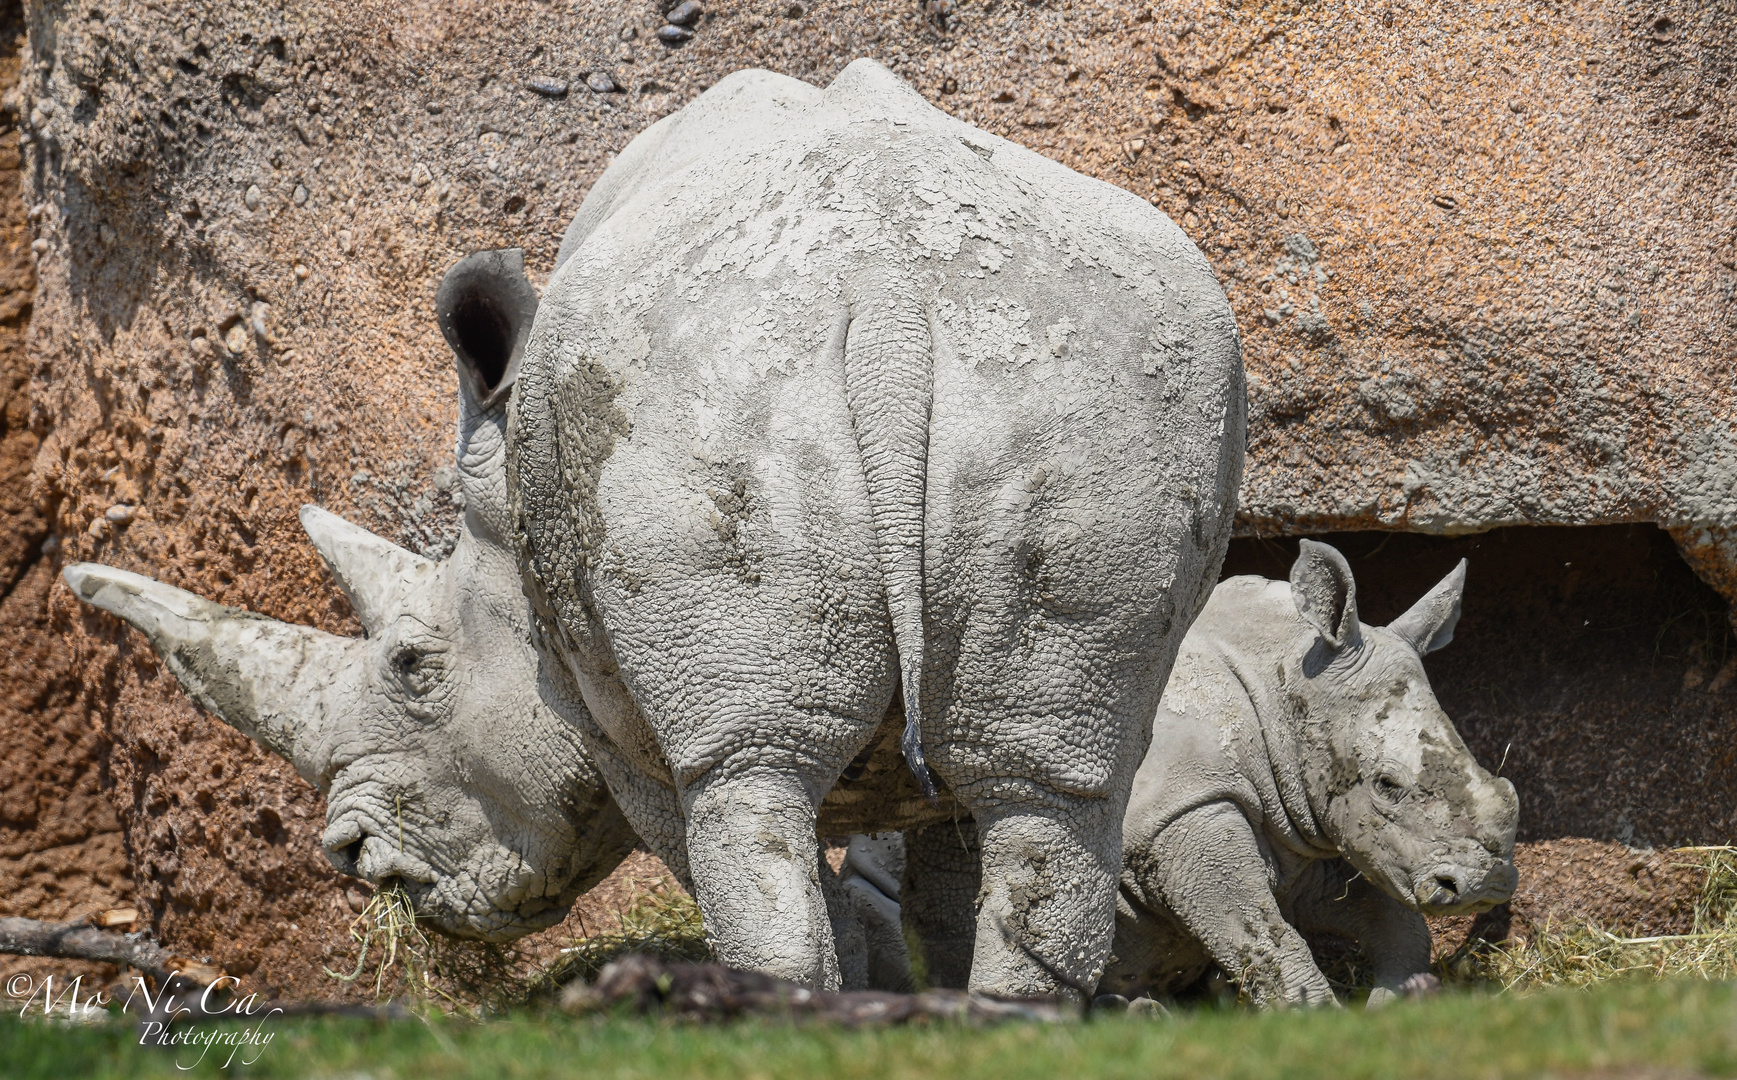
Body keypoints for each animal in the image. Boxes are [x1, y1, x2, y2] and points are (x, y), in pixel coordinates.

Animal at [64, 55, 1250, 993]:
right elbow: (949, 885)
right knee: (1055, 795)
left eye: (414, 665)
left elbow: (707, 838)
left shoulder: (616, 696)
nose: (356, 862)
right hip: (1077, 377)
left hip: (702, 390)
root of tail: (890, 300)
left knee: (750, 795)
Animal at [1097, 545, 1521, 1014]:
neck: (1279, 680)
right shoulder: (1179, 808)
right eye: (1386, 785)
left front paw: (1395, 1000)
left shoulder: (1302, 835)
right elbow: (1266, 939)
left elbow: (1393, 920)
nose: (1486, 883)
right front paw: (1316, 1017)